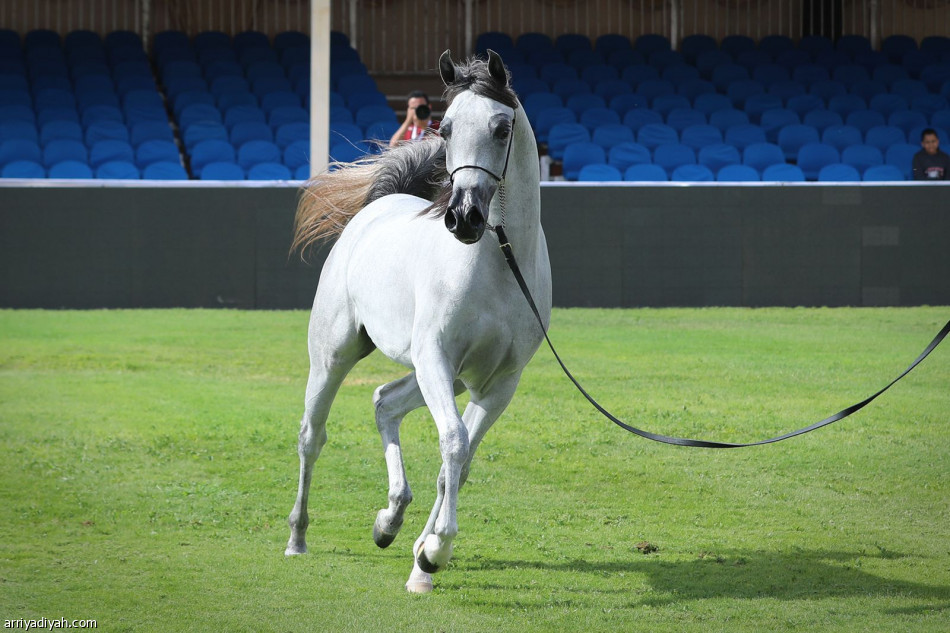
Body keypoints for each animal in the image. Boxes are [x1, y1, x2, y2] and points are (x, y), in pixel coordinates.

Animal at [284, 50, 552, 592]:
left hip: (442, 376)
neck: (499, 263)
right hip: (336, 357)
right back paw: (298, 537)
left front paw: (423, 557)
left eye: (501, 128)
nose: (464, 217)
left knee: (384, 402)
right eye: (445, 129)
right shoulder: (436, 357)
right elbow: (453, 443)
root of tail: (379, 207)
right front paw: (435, 552)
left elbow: (458, 465)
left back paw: (389, 520)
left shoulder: (498, 382)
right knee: (312, 435)